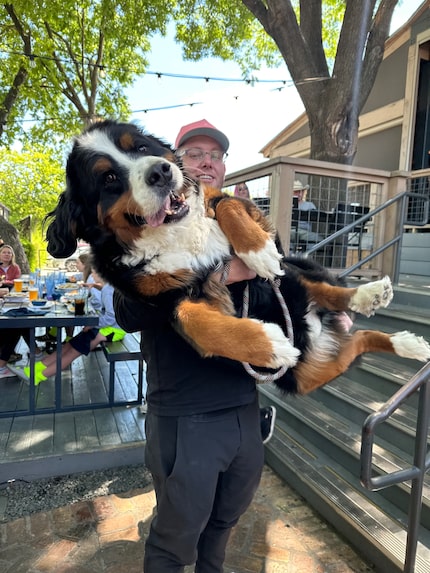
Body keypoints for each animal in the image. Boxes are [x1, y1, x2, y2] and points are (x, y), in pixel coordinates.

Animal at [44, 120, 430, 394]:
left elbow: (228, 205)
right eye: (109, 177)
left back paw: (374, 299)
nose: (161, 172)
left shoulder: (243, 209)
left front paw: (257, 251)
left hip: (293, 273)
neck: (175, 235)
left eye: (140, 147)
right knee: (359, 340)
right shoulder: (167, 300)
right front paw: (270, 345)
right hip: (310, 374)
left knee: (332, 292)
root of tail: (318, 324)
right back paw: (406, 343)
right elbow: (196, 321)